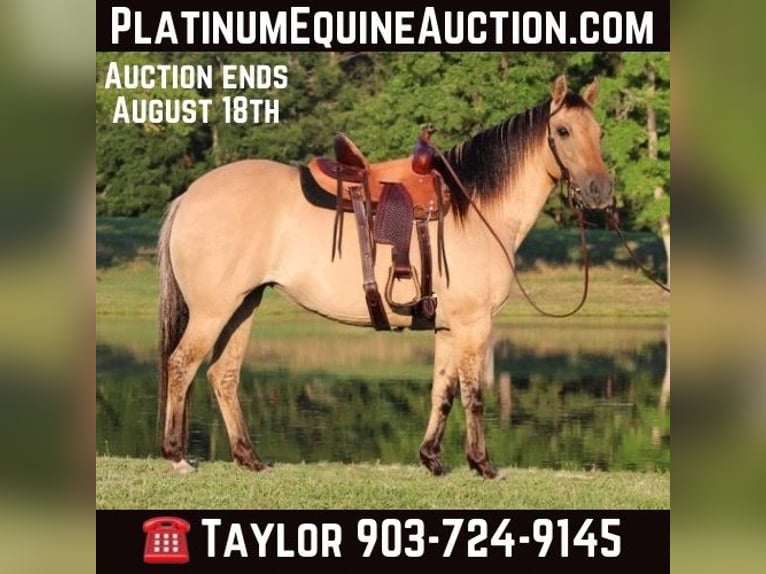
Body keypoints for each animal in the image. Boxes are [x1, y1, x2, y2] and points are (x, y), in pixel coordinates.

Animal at [156, 75, 613, 479]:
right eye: (563, 131)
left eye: (600, 132)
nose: (600, 191)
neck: (473, 208)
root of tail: (189, 195)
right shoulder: (473, 324)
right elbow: (473, 394)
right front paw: (482, 465)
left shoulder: (448, 327)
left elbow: (443, 392)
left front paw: (432, 459)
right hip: (213, 311)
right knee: (181, 365)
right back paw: (177, 456)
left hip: (243, 307)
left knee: (222, 375)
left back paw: (249, 458)